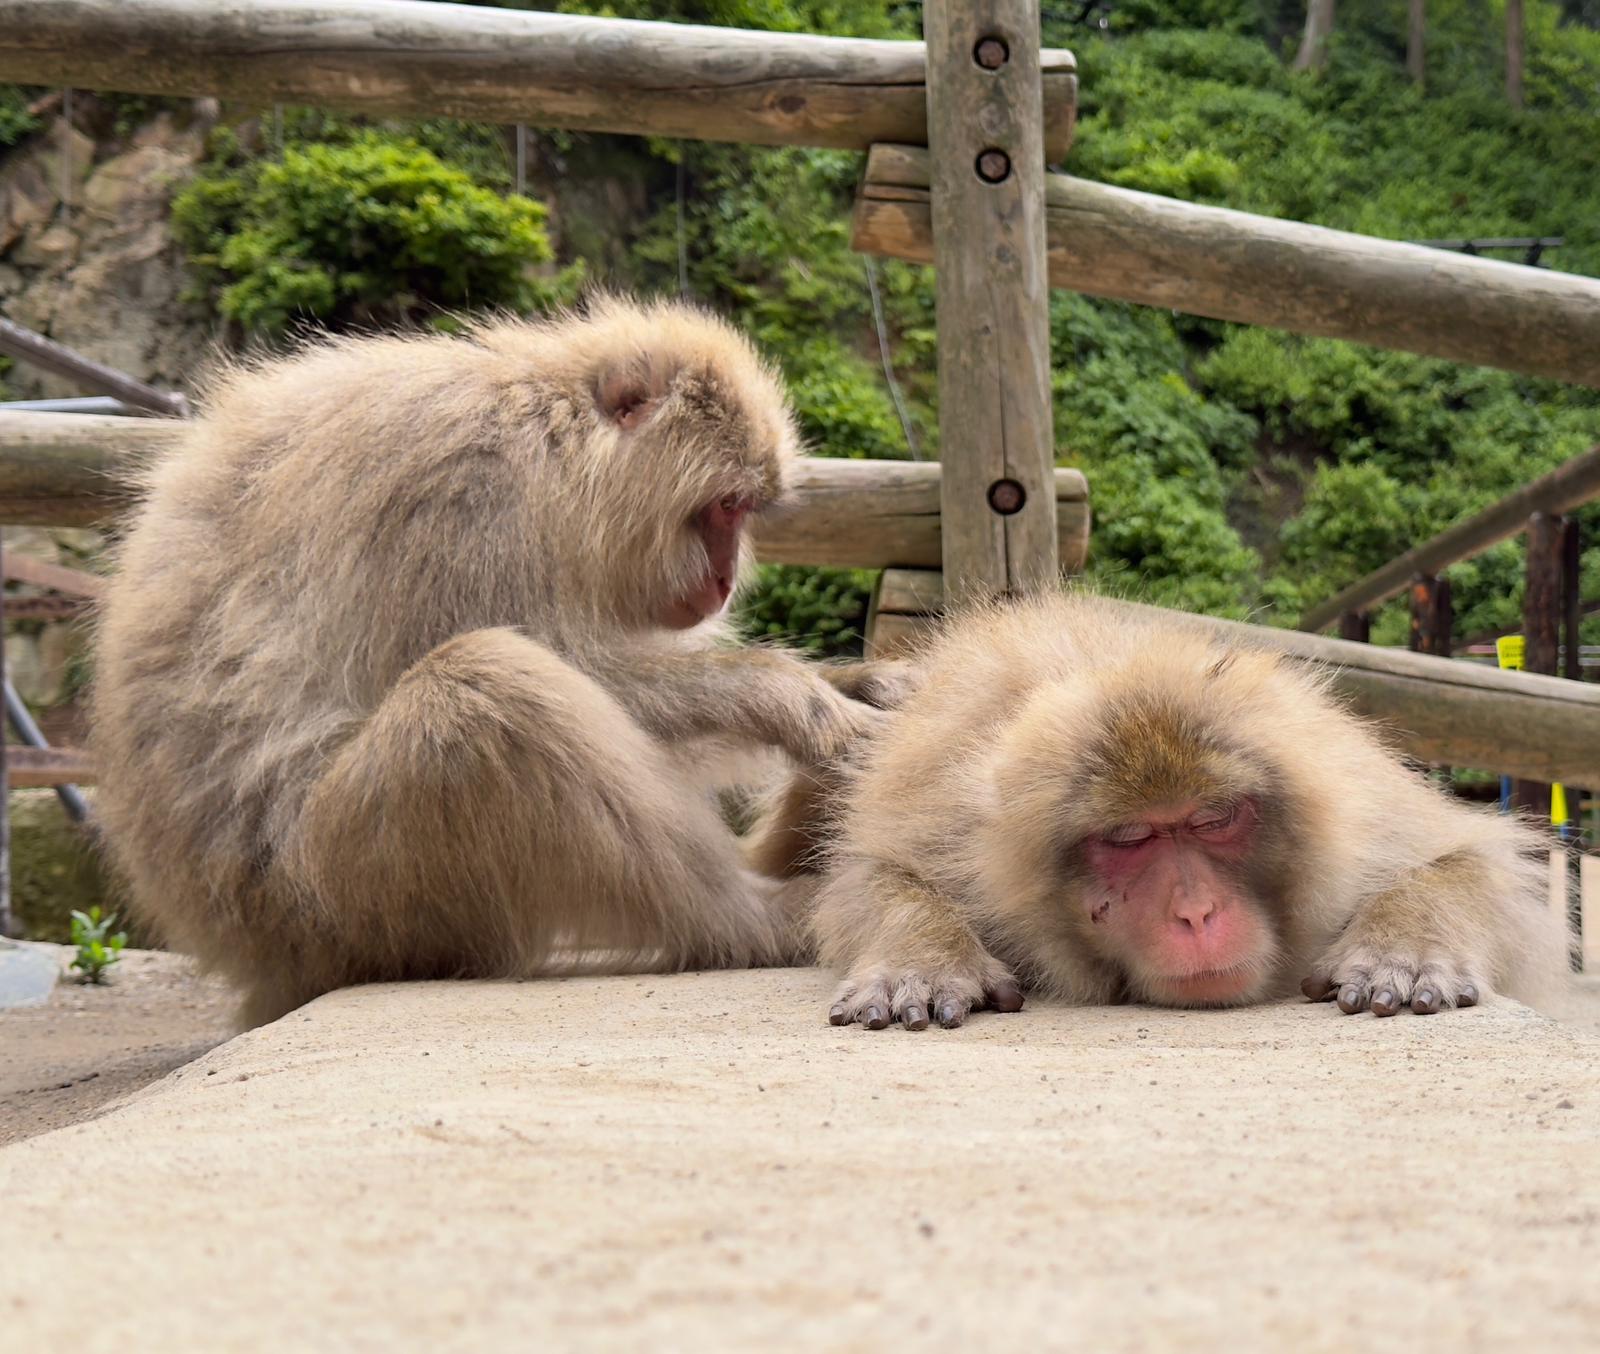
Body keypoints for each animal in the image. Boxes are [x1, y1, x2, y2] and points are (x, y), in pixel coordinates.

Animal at [88, 296, 897, 1028]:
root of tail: (245, 957)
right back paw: (747, 920)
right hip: (339, 899)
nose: (727, 580)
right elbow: (553, 665)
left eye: (746, 511)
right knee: (481, 688)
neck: (551, 447)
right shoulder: (460, 493)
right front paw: (790, 696)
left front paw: (861, 681)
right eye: (725, 507)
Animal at [812, 592, 1572, 1030]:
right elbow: (871, 875)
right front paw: (922, 959)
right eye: (1129, 837)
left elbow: (1474, 860)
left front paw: (1403, 951)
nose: (1196, 912)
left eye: (1213, 820)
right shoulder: (955, 825)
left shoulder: (1365, 816)